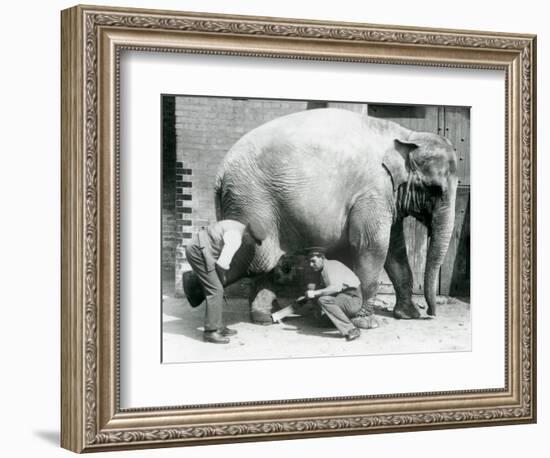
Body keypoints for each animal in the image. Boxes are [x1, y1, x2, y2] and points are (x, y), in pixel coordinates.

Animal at [209, 108, 460, 320]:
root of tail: (220, 173)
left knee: (265, 261)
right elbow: (373, 246)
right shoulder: (372, 192)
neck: (407, 135)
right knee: (258, 259)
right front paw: (364, 320)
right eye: (436, 190)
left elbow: (395, 250)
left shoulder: (387, 196)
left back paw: (265, 316)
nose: (430, 313)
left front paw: (407, 315)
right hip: (251, 200)